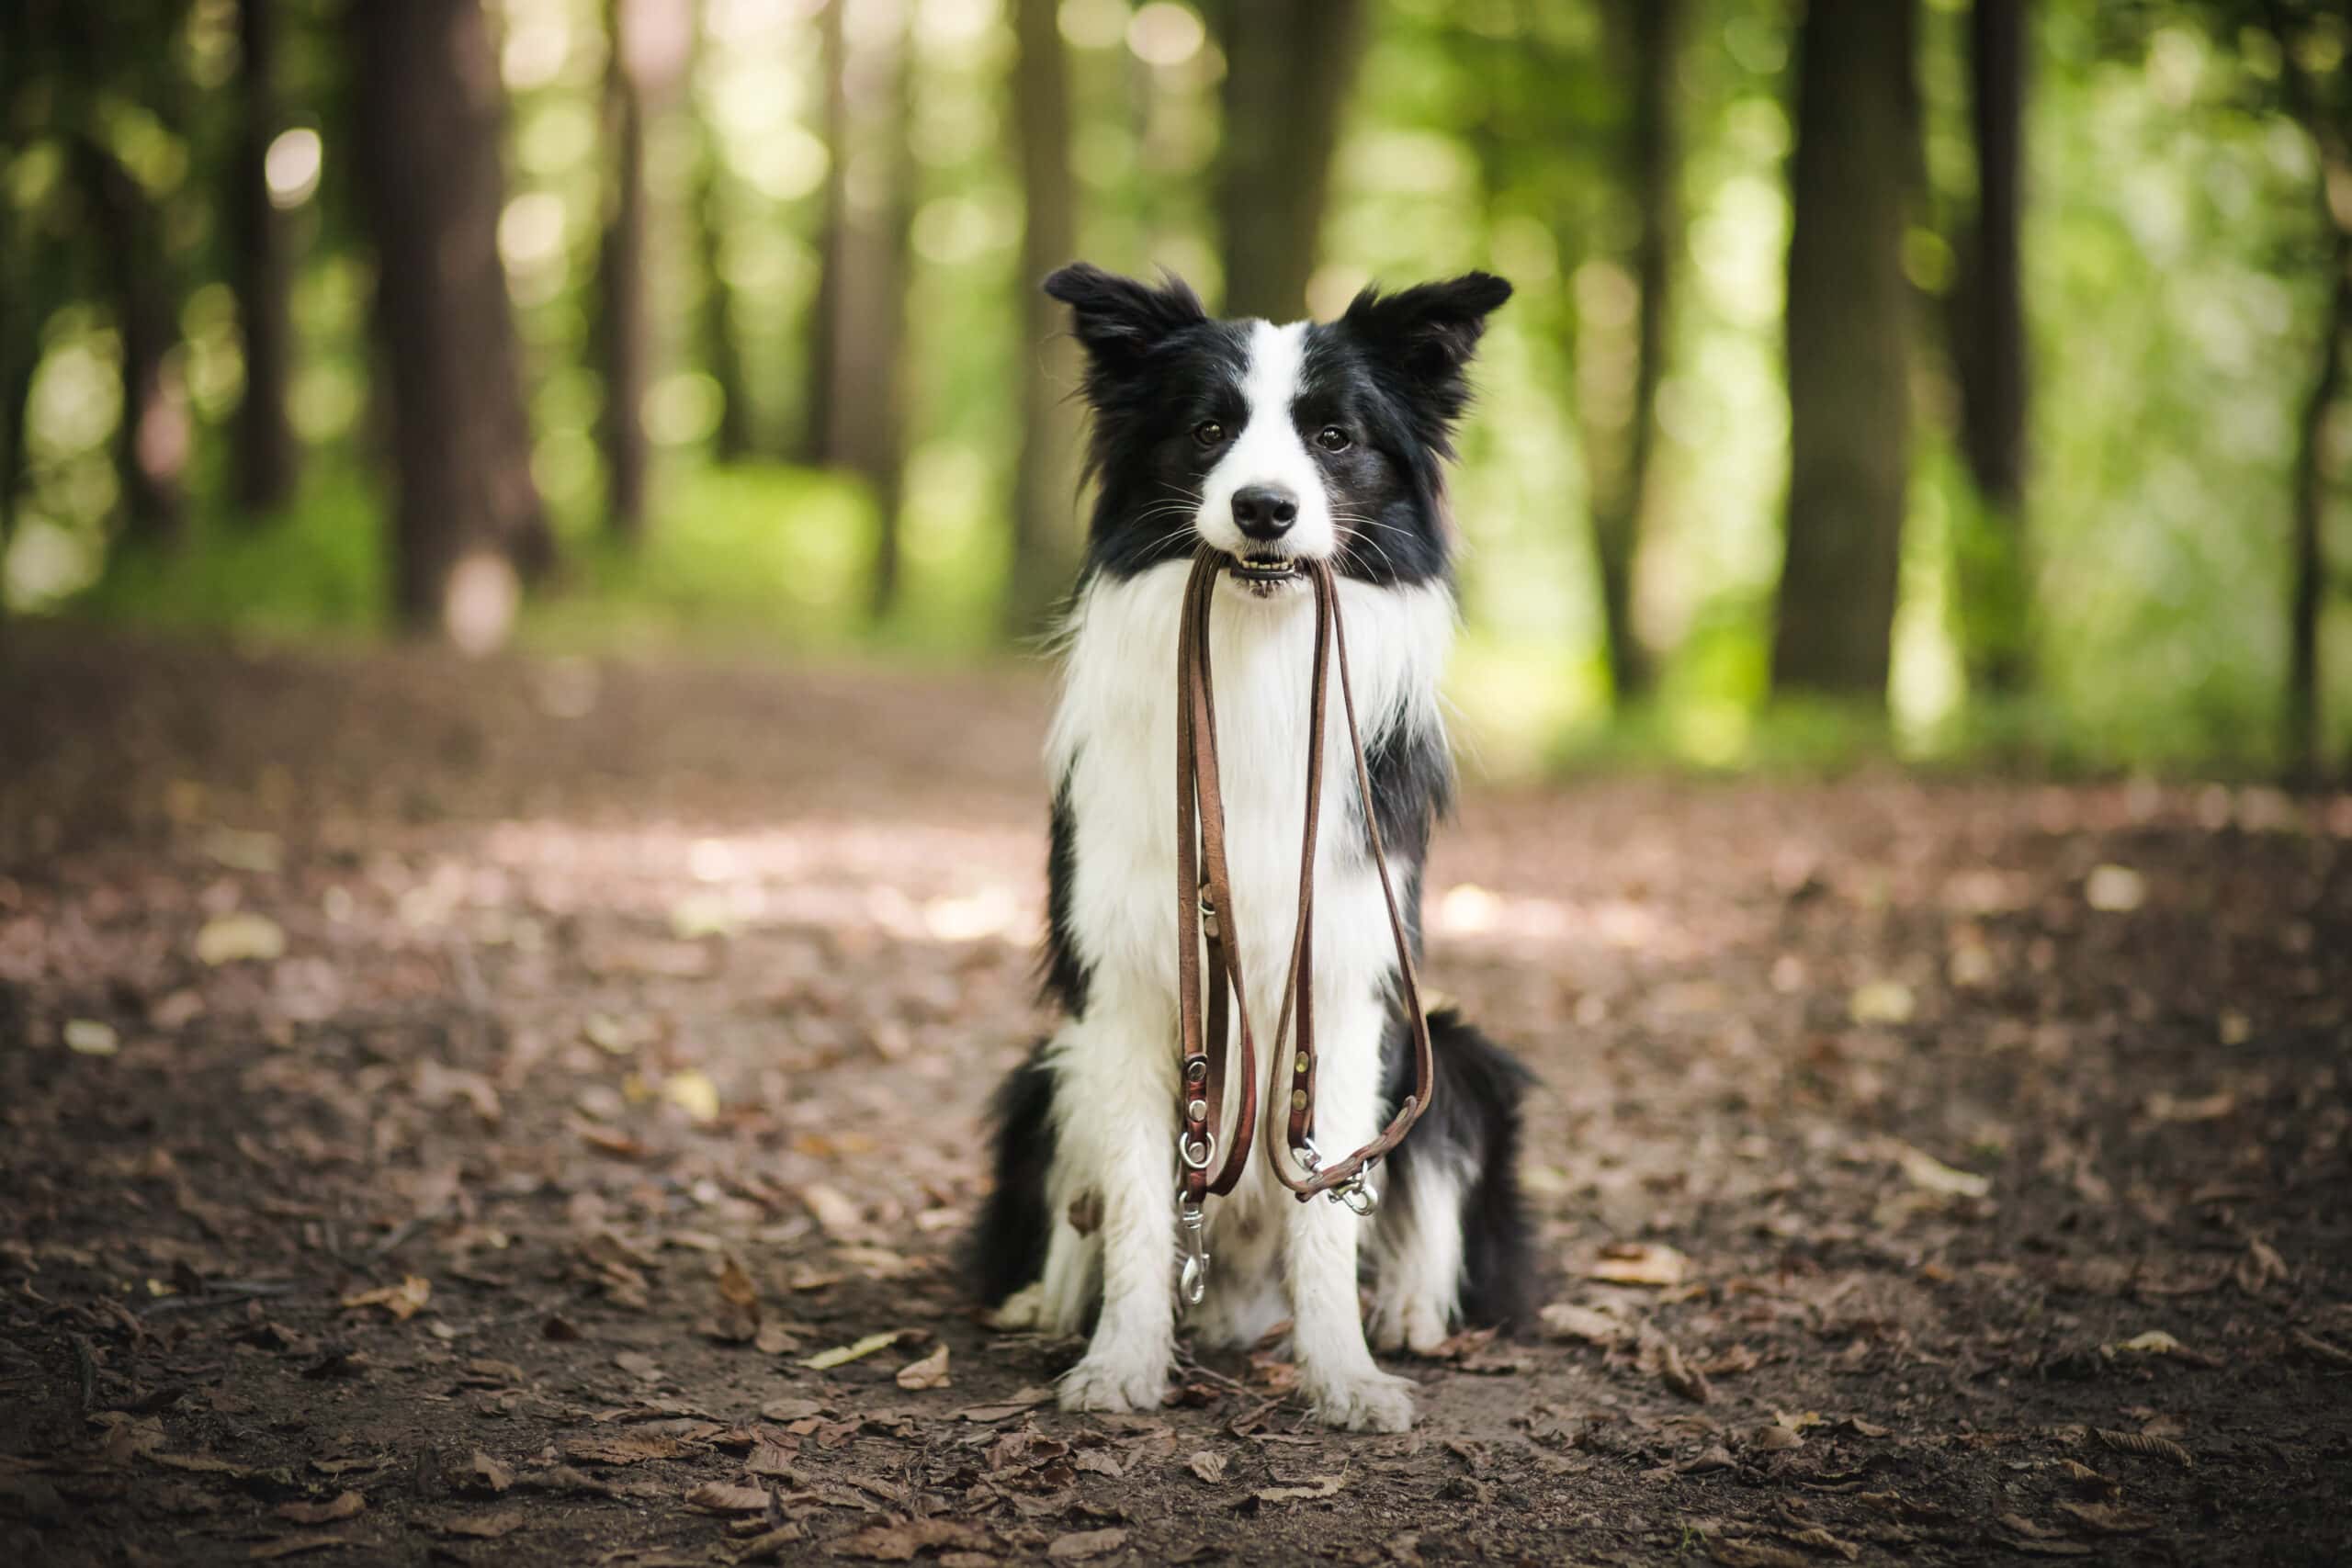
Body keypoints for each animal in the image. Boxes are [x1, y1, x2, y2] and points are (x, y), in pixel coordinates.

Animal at [968, 263, 1533, 1429]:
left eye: (1333, 435)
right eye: (1208, 428)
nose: (1263, 508)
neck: (1254, 658)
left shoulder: (1350, 980)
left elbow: (1327, 1207)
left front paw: (1346, 1375)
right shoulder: (1130, 986)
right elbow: (1141, 1204)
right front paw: (1120, 1363)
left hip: (1453, 1053)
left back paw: (1409, 1316)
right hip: (1045, 1069)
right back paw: (1047, 1303)